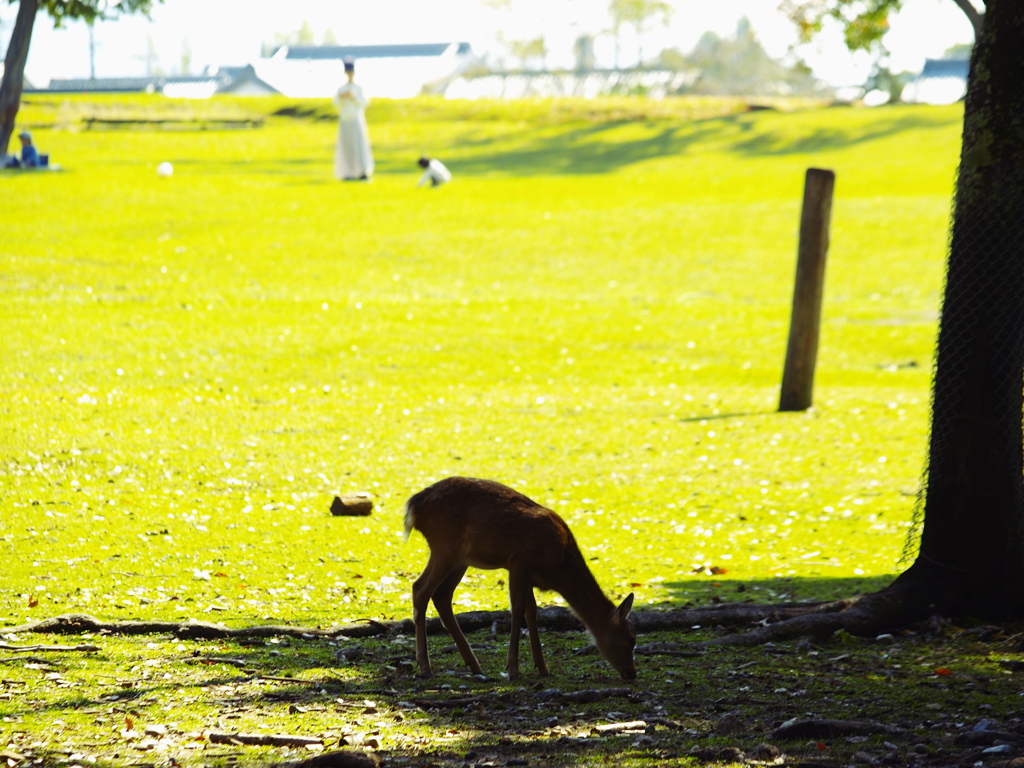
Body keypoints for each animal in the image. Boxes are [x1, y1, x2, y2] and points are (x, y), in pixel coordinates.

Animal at [403, 479, 634, 684]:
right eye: (628, 639)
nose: (631, 673)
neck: (558, 567)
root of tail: (414, 505)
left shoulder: (529, 575)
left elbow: (532, 610)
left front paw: (542, 668)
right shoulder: (519, 563)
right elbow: (518, 608)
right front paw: (513, 670)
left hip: (461, 559)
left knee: (441, 594)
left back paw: (475, 666)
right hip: (445, 546)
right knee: (420, 588)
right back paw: (425, 668)